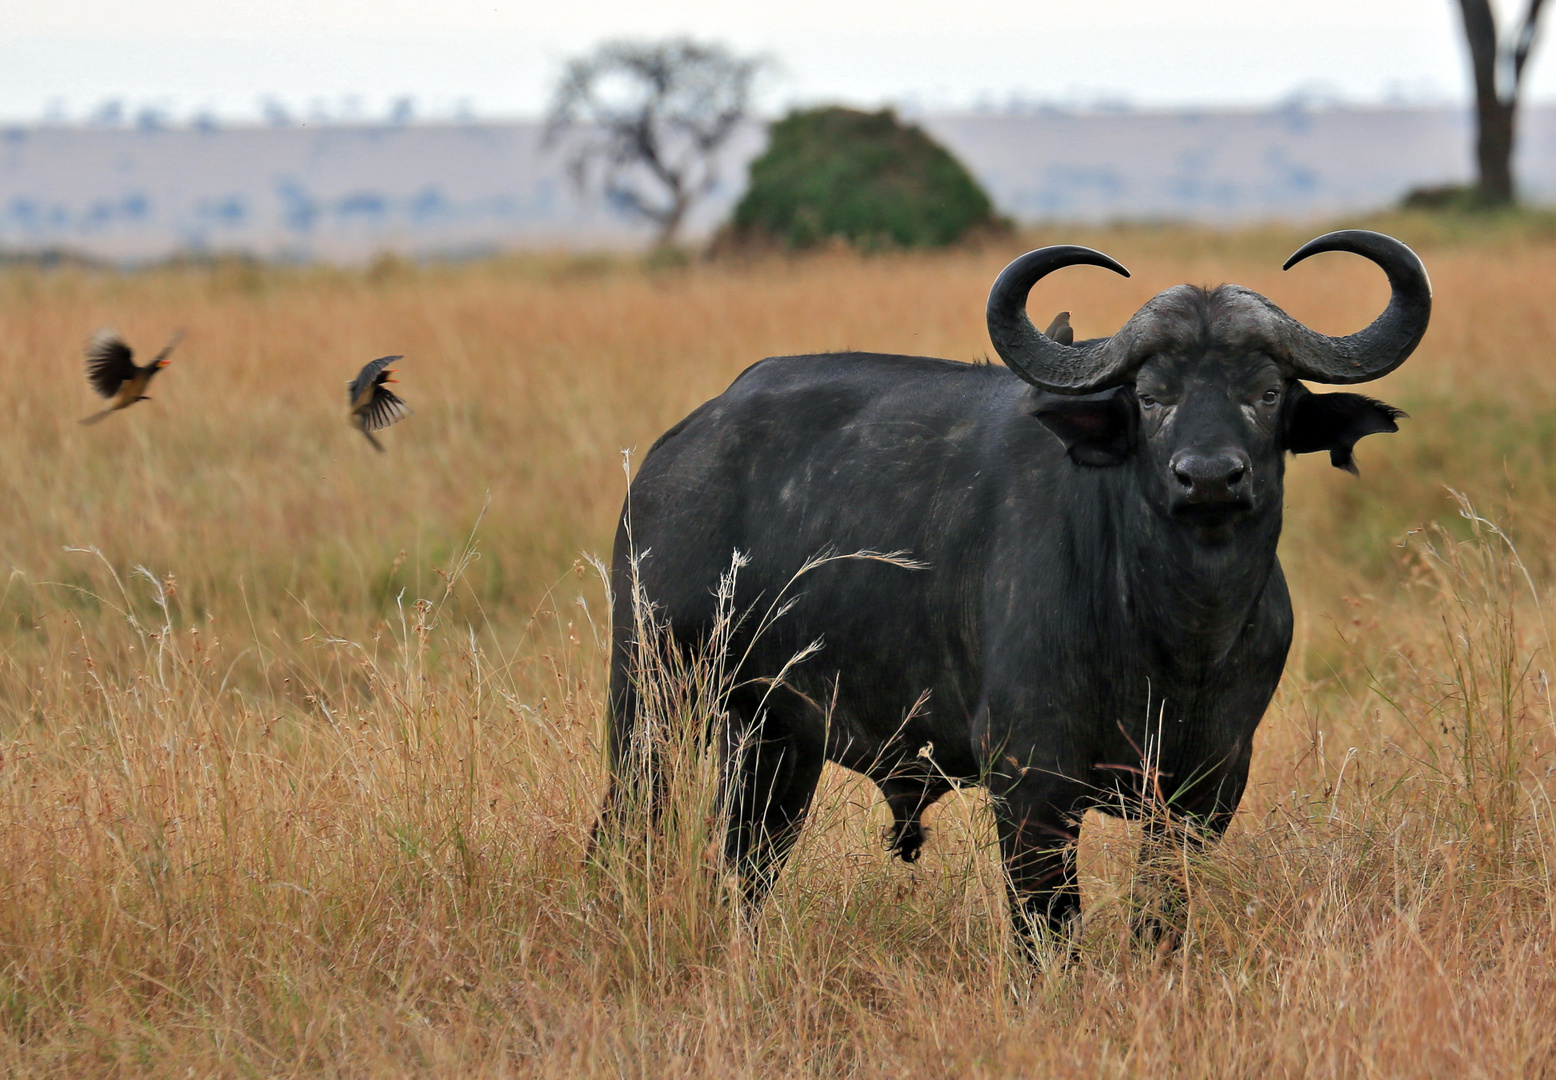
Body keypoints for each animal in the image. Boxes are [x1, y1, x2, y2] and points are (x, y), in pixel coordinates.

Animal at [594, 230, 1431, 958]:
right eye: (1152, 395)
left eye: (1266, 391)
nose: (1209, 478)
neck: (1175, 634)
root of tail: (671, 458)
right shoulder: (1033, 787)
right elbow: (1048, 931)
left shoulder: (1208, 788)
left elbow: (1160, 916)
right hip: (652, 702)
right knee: (627, 830)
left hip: (774, 742)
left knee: (747, 864)